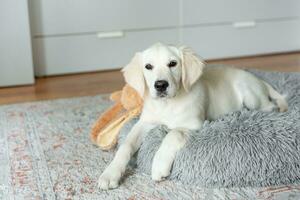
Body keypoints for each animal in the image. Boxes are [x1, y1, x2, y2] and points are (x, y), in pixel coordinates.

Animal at [97, 43, 288, 190]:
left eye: (173, 63)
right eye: (148, 66)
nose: (161, 85)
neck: (168, 104)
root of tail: (258, 79)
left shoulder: (195, 124)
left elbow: (174, 133)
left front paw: (159, 164)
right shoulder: (145, 123)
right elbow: (126, 145)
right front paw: (110, 173)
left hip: (250, 94)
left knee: (269, 106)